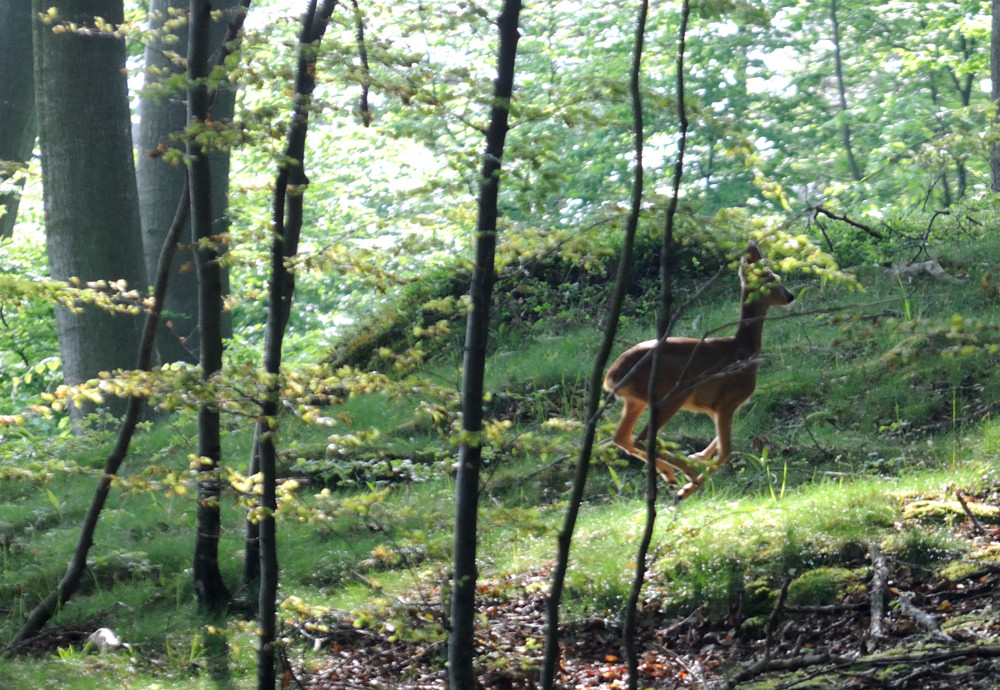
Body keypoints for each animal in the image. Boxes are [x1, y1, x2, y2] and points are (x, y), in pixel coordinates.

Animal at [602, 242, 795, 500]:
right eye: (773, 279)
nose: (790, 296)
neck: (743, 350)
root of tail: (611, 377)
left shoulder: (717, 407)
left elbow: (718, 445)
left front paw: (698, 457)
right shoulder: (727, 401)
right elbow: (725, 451)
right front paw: (690, 485)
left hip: (636, 401)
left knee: (622, 437)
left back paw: (671, 474)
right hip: (672, 393)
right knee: (643, 438)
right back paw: (685, 477)